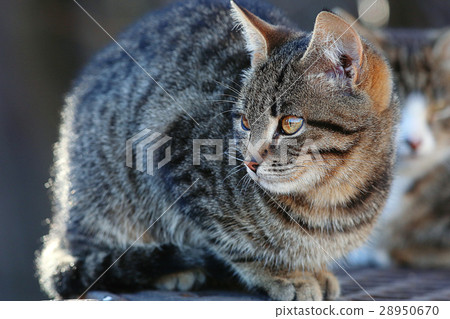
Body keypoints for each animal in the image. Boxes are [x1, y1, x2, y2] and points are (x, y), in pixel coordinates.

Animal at [37, 0, 400, 302]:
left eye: (290, 124)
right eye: (243, 122)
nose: (250, 162)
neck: (329, 196)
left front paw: (314, 270)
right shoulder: (173, 153)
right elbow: (232, 243)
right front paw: (281, 274)